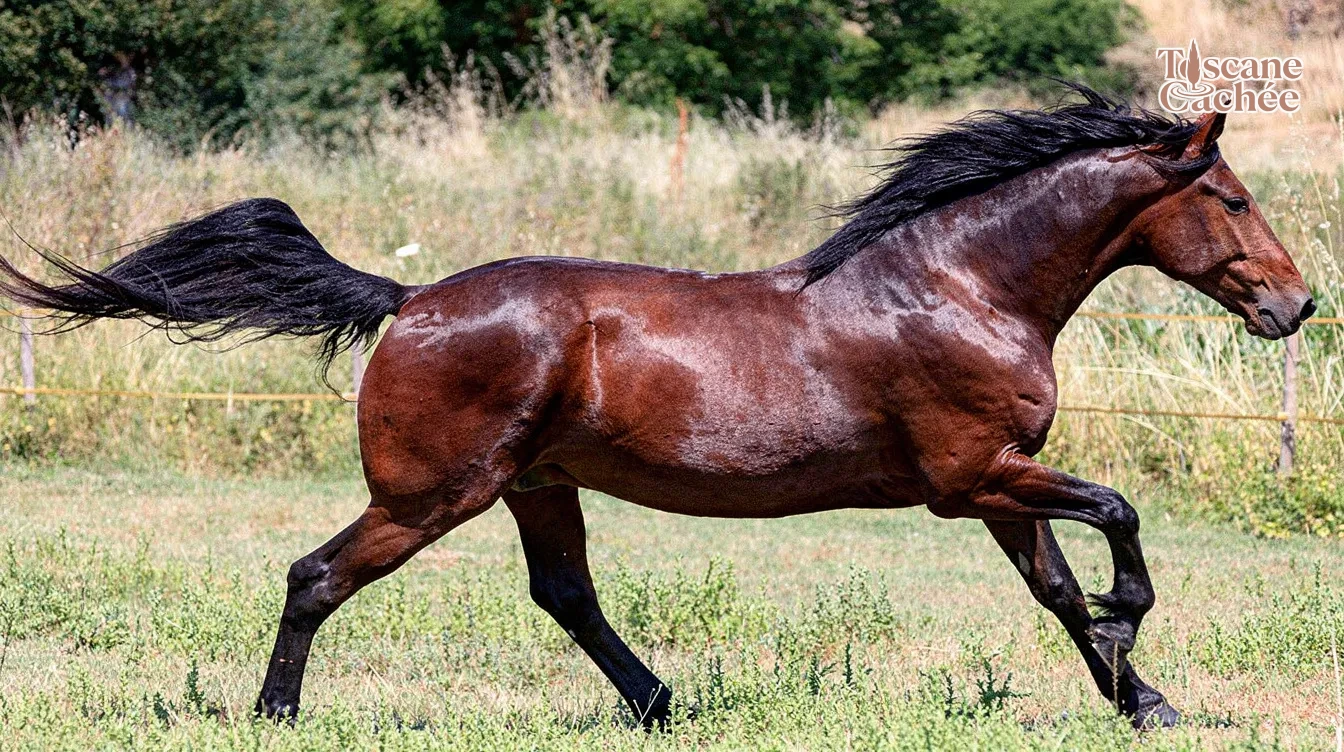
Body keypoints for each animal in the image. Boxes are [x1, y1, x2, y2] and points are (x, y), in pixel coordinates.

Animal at [0, 89, 1315, 730]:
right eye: (1234, 199)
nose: (1297, 304)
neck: (960, 285)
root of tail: (409, 297)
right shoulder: (971, 477)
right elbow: (1120, 518)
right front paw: (1135, 637)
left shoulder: (997, 484)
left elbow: (1056, 589)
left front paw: (1143, 698)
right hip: (432, 492)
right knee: (317, 574)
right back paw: (275, 714)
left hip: (537, 485)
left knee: (565, 595)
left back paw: (660, 702)